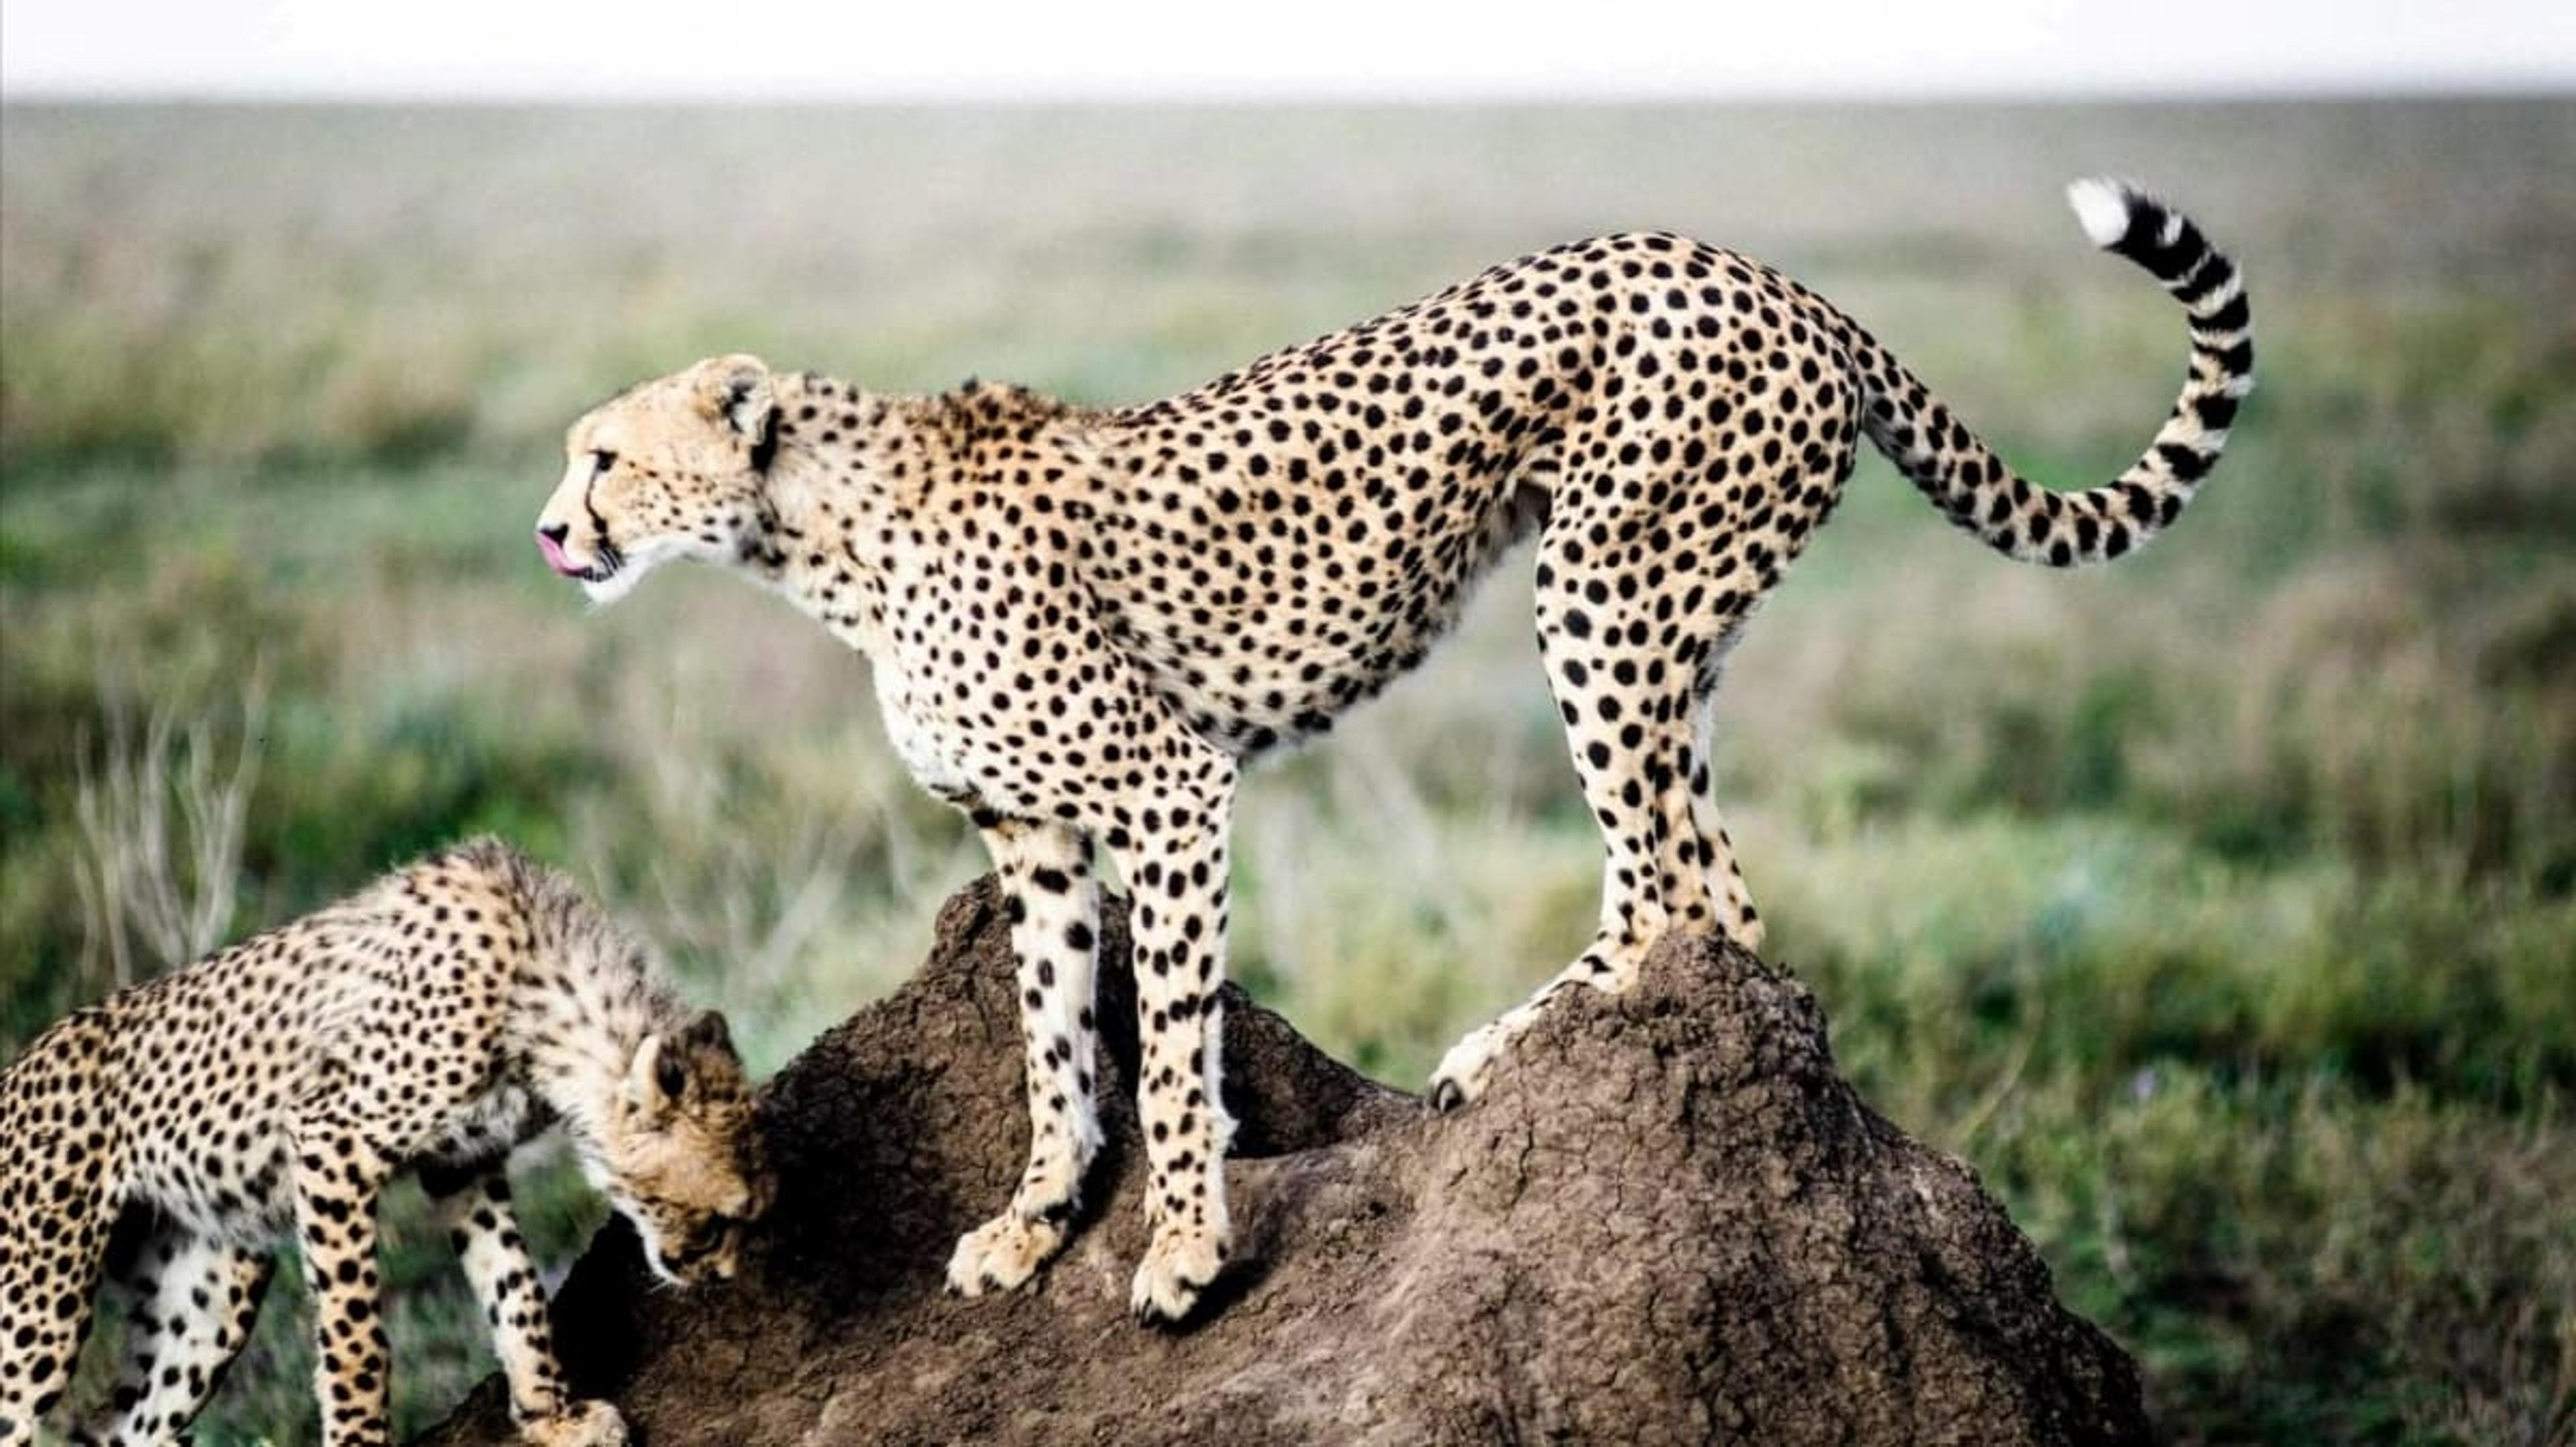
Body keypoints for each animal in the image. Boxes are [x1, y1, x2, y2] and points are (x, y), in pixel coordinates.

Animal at [0, 838, 773, 1447]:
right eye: (722, 1219)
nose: (720, 1279)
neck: (545, 996)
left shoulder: (464, 1163)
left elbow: (515, 1286)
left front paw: (551, 1416)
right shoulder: (331, 1139)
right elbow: (357, 1337)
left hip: (211, 1291)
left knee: (125, 1424)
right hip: (40, 1304)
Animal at [532, 178, 2250, 1324]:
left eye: (605, 456)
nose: (551, 532)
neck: (820, 539)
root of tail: (1765, 271)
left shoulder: (1169, 790)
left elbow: (1169, 1050)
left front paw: (1181, 1249)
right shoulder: (1028, 836)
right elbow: (1050, 1044)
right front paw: (1030, 1223)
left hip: (1597, 589)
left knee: (1668, 886)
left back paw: (1500, 1051)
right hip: (1674, 622)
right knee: (1722, 890)